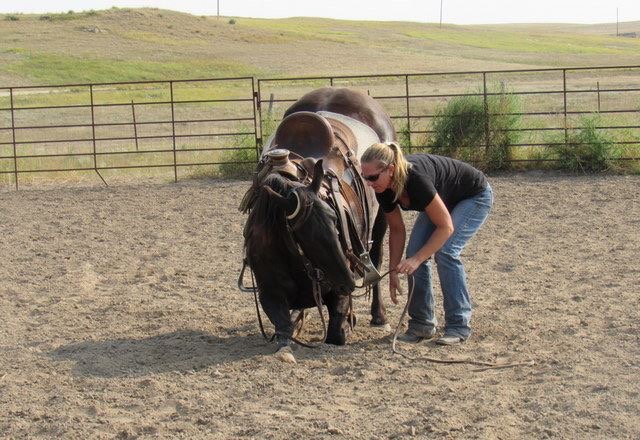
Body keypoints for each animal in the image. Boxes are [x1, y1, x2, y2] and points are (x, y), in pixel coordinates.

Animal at [242, 87, 398, 356]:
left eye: (336, 220)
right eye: (304, 235)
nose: (348, 282)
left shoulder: (338, 296)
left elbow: (335, 332)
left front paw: (348, 323)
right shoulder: (269, 295)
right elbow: (284, 331)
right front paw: (294, 327)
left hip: (381, 220)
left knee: (376, 257)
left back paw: (380, 316)